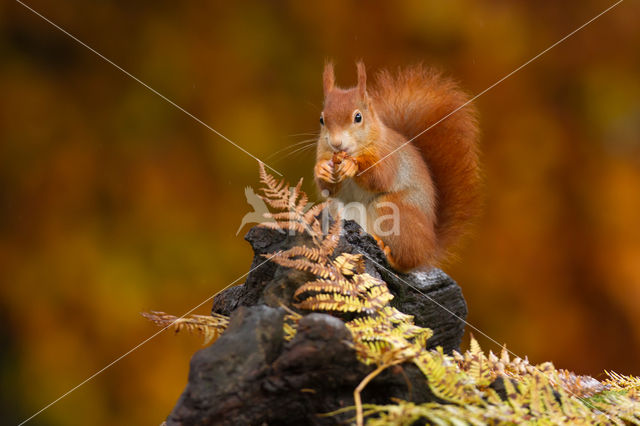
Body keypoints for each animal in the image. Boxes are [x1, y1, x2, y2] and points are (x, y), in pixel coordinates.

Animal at [312, 61, 478, 272]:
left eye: (358, 117)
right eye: (321, 120)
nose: (336, 143)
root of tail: (430, 247)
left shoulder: (389, 155)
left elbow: (380, 177)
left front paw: (352, 165)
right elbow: (329, 188)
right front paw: (322, 170)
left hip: (393, 210)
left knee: (408, 261)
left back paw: (389, 254)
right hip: (338, 210)